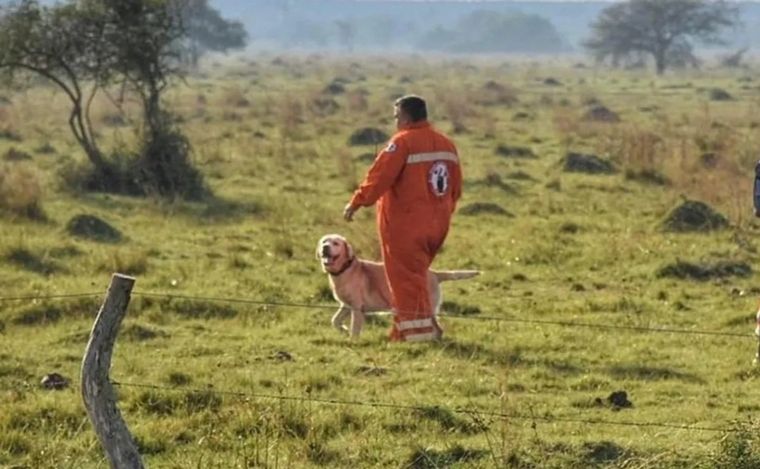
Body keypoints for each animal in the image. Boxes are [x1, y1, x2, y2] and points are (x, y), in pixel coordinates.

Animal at [318, 233, 478, 336]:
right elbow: (335, 320)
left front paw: (352, 340)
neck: (345, 269)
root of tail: (434, 273)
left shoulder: (357, 308)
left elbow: (355, 329)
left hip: (423, 307)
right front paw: (343, 330)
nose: (325, 247)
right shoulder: (346, 305)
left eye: (336, 243)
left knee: (437, 329)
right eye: (324, 241)